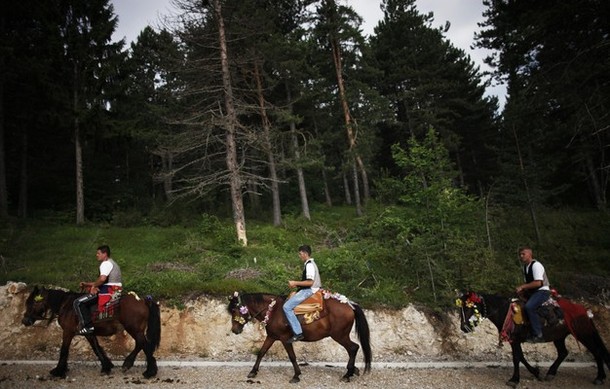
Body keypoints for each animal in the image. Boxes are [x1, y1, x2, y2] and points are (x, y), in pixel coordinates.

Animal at [21, 284, 160, 378]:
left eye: (32, 303)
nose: (25, 320)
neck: (66, 305)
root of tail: (143, 301)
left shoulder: (68, 332)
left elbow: (64, 350)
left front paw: (58, 371)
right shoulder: (88, 333)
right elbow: (96, 348)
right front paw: (106, 366)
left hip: (134, 329)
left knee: (143, 345)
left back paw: (143, 369)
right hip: (135, 330)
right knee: (142, 345)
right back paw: (139, 367)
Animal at [227, 292, 370, 382]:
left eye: (234, 310)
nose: (234, 329)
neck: (273, 311)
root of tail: (349, 304)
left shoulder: (285, 339)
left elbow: (292, 357)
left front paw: (296, 375)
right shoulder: (272, 336)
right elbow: (261, 352)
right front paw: (253, 371)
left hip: (340, 335)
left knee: (353, 348)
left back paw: (348, 374)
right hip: (341, 336)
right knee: (353, 349)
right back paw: (352, 371)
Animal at [456, 292, 608, 384]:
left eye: (470, 308)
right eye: (460, 308)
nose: (464, 327)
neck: (505, 312)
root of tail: (584, 311)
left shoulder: (515, 340)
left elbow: (516, 358)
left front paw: (514, 380)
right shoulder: (514, 341)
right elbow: (521, 357)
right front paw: (536, 372)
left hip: (583, 334)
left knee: (596, 352)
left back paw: (599, 377)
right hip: (559, 337)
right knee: (563, 353)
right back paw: (550, 373)